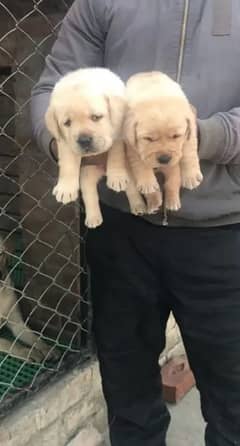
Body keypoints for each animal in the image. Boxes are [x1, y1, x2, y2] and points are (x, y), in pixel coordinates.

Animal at [45, 68, 146, 228]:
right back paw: (93, 218)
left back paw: (138, 206)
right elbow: (68, 164)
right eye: (67, 123)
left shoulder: (118, 132)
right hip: (87, 173)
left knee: (131, 188)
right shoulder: (65, 142)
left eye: (96, 117)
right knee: (89, 194)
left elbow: (116, 154)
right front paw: (66, 188)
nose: (84, 140)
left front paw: (116, 176)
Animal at [124, 72, 202, 213]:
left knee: (172, 183)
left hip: (172, 167)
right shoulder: (131, 143)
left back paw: (172, 201)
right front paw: (147, 182)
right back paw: (153, 202)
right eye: (148, 139)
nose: (164, 159)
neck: (158, 96)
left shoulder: (190, 130)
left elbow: (189, 152)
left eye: (176, 136)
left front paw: (191, 176)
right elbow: (140, 162)